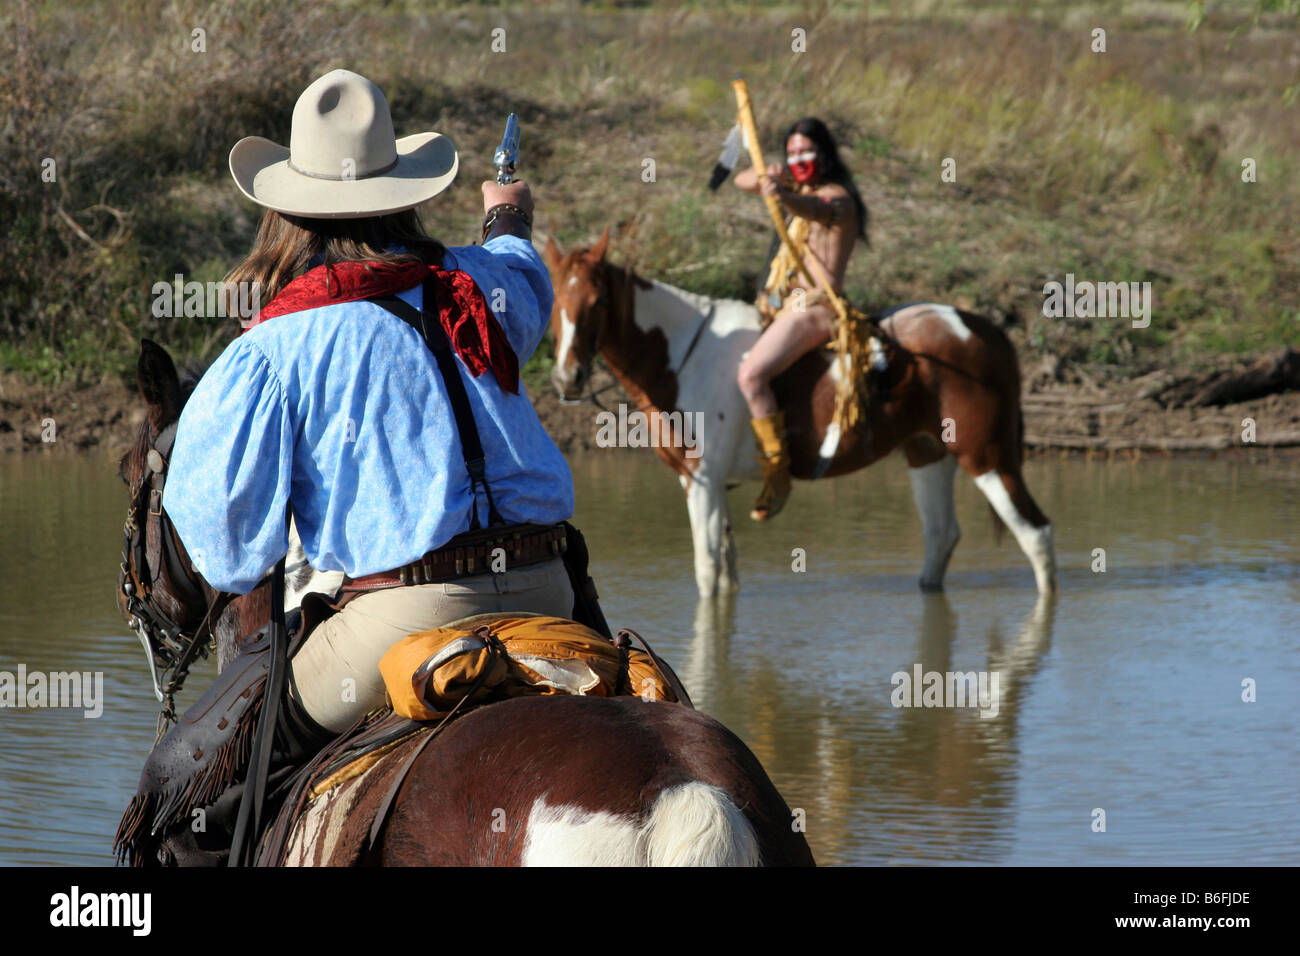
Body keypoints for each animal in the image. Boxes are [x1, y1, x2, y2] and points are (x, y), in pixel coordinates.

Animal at [543, 228, 1060, 598]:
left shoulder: (703, 483)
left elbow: (708, 573)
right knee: (941, 536)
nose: (568, 377)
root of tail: (981, 329)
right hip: (928, 453)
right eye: (554, 299)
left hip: (987, 458)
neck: (683, 355)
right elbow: (727, 573)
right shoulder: (712, 488)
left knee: (1035, 534)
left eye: (599, 301)